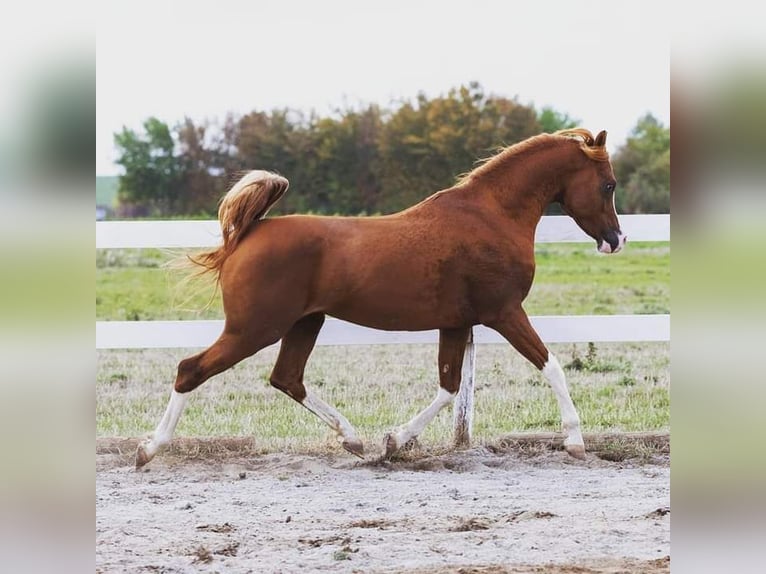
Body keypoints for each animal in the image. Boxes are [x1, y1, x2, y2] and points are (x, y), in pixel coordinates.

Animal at [136, 129, 624, 468]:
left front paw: (393, 441)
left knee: (287, 379)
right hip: (254, 329)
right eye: (609, 185)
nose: (616, 240)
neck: (492, 216)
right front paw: (575, 441)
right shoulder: (503, 313)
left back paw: (353, 439)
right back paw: (149, 449)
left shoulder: (457, 322)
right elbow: (552, 366)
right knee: (191, 370)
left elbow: (448, 387)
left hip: (304, 323)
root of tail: (247, 233)